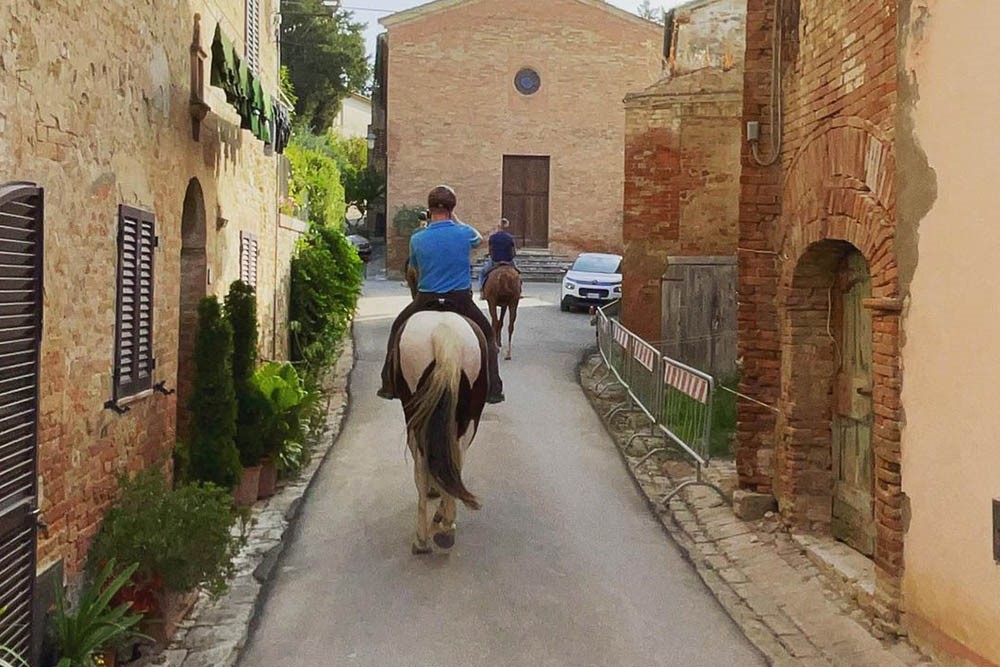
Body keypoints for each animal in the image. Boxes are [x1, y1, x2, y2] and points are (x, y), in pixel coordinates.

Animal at [398, 308, 492, 552]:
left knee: (422, 468)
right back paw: (446, 528)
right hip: (468, 419)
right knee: (456, 459)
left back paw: (423, 538)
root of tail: (444, 332)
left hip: (417, 419)